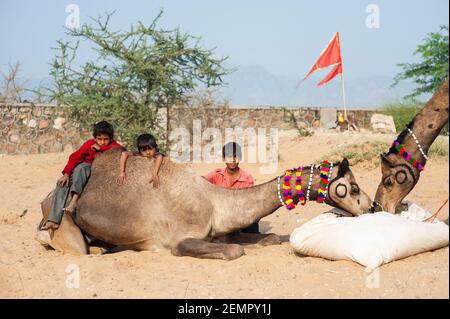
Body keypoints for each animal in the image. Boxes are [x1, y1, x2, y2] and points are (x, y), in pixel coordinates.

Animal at [37, 150, 374, 260]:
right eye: (354, 187)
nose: (371, 207)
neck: (215, 201)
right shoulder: (179, 240)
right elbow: (234, 251)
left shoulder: (220, 231)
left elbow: (264, 237)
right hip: (63, 226)